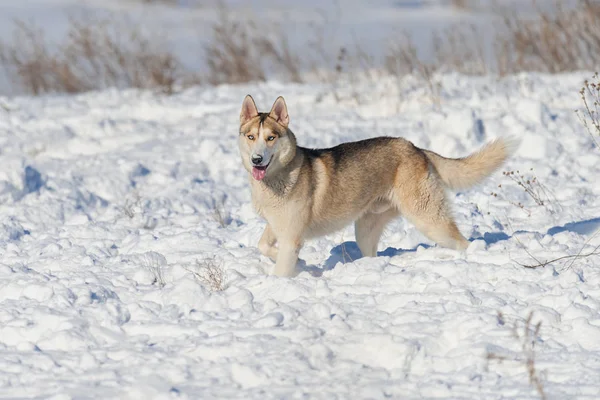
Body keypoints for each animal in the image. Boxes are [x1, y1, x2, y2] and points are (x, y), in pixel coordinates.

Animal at [237, 95, 516, 276]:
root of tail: (416, 148)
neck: (276, 180)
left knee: (462, 242)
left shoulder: (291, 236)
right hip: (366, 229)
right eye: (251, 137)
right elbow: (263, 246)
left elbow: (281, 269)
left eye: (271, 138)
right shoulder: (277, 227)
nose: (257, 160)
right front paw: (303, 263)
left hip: (428, 219)